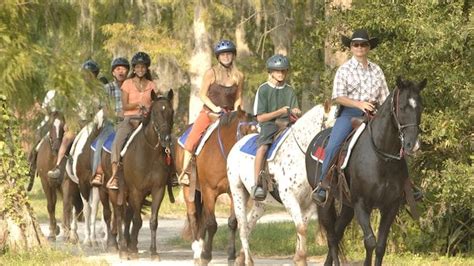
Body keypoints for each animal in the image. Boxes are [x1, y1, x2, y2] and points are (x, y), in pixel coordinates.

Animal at [29, 111, 82, 242]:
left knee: (74, 207)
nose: (57, 147)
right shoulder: (46, 183)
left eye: (63, 126)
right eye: (50, 125)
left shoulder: (66, 183)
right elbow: (51, 206)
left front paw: (67, 233)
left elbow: (67, 206)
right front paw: (52, 232)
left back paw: (72, 233)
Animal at [115, 90, 176, 260]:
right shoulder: (136, 190)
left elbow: (152, 221)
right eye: (154, 112)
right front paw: (132, 250)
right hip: (117, 192)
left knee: (127, 215)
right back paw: (123, 248)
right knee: (120, 215)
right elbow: (137, 220)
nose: (166, 139)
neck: (149, 154)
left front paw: (153, 252)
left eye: (171, 112)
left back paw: (129, 244)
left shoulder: (158, 190)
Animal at [174, 108, 256, 266]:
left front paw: (231, 256)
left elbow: (232, 222)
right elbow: (212, 224)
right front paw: (206, 255)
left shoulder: (233, 192)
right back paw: (197, 252)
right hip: (189, 189)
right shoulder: (209, 191)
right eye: (245, 132)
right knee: (194, 216)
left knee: (202, 218)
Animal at [306, 77, 428, 266]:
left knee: (337, 232)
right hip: (325, 202)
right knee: (332, 237)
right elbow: (370, 241)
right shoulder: (362, 204)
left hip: (347, 206)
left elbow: (380, 245)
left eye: (420, 107)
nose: (412, 145)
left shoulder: (390, 206)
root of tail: (316, 139)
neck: (382, 158)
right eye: (401, 107)